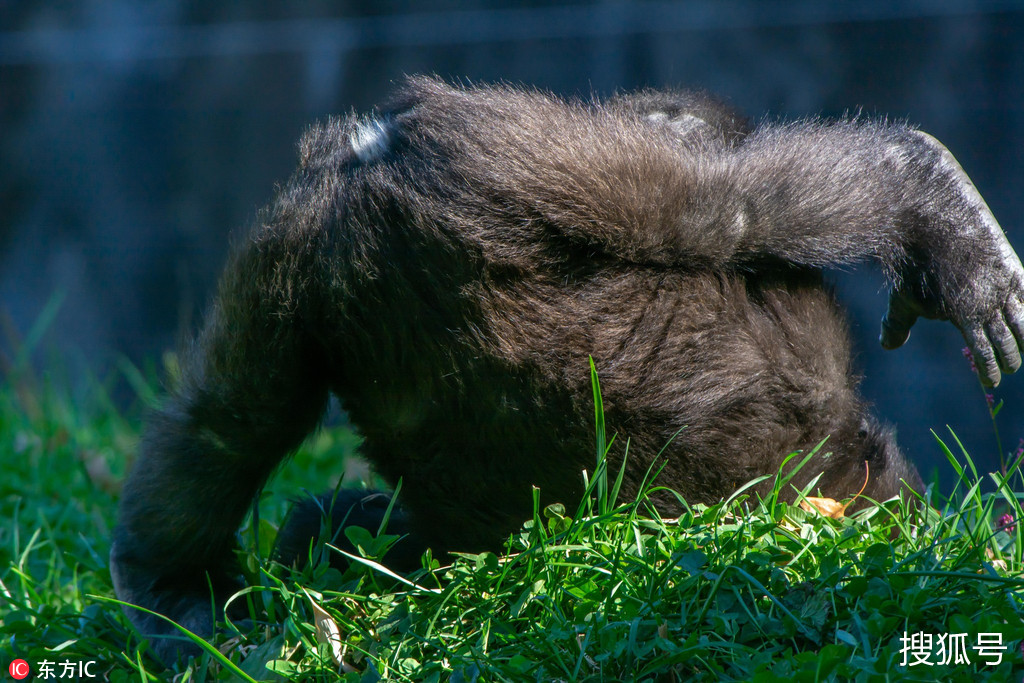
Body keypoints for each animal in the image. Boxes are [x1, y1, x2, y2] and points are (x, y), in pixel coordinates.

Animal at [110, 77, 1024, 663]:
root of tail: (373, 149)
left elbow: (325, 520)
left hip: (307, 242)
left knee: (230, 418)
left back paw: (168, 587)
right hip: (522, 159)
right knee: (718, 208)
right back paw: (925, 190)